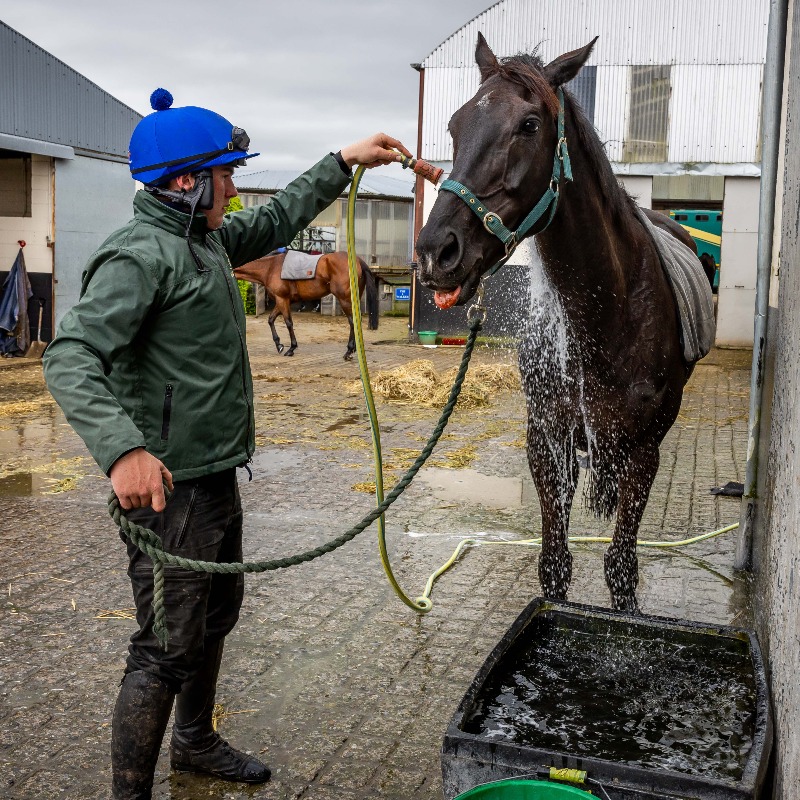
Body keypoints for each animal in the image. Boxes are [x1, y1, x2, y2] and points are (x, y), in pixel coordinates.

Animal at [233, 252, 380, 360]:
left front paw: (291, 348)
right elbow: (271, 319)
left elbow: (288, 323)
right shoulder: (283, 301)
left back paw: (349, 351)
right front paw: (279, 344)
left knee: (352, 321)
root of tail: (358, 260)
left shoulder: (282, 300)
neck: (270, 268)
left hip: (345, 300)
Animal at [416, 34, 704, 608]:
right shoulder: (548, 442)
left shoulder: (645, 452)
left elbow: (621, 567)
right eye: (455, 125)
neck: (608, 312)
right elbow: (554, 564)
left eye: (529, 125)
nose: (437, 251)